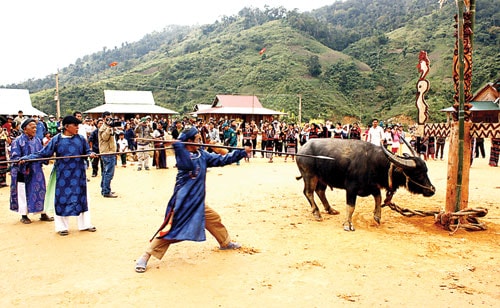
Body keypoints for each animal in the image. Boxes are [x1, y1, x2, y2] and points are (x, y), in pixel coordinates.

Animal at [296, 138, 434, 230]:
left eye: (426, 170)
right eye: (418, 174)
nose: (432, 190)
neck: (372, 162)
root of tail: (302, 148)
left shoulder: (373, 187)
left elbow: (379, 198)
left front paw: (377, 216)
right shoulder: (351, 189)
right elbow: (351, 206)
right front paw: (348, 224)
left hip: (322, 178)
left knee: (320, 191)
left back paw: (330, 209)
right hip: (310, 175)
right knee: (308, 192)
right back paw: (317, 213)